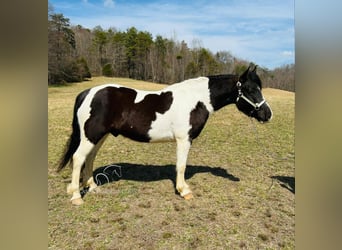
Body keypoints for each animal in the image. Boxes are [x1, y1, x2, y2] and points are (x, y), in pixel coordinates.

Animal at [57, 65, 274, 204]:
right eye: (250, 89)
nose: (267, 114)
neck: (196, 99)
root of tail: (87, 93)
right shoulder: (184, 139)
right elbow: (181, 165)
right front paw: (184, 191)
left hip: (98, 136)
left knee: (90, 157)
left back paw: (93, 187)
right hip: (91, 135)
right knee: (78, 158)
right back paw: (76, 196)